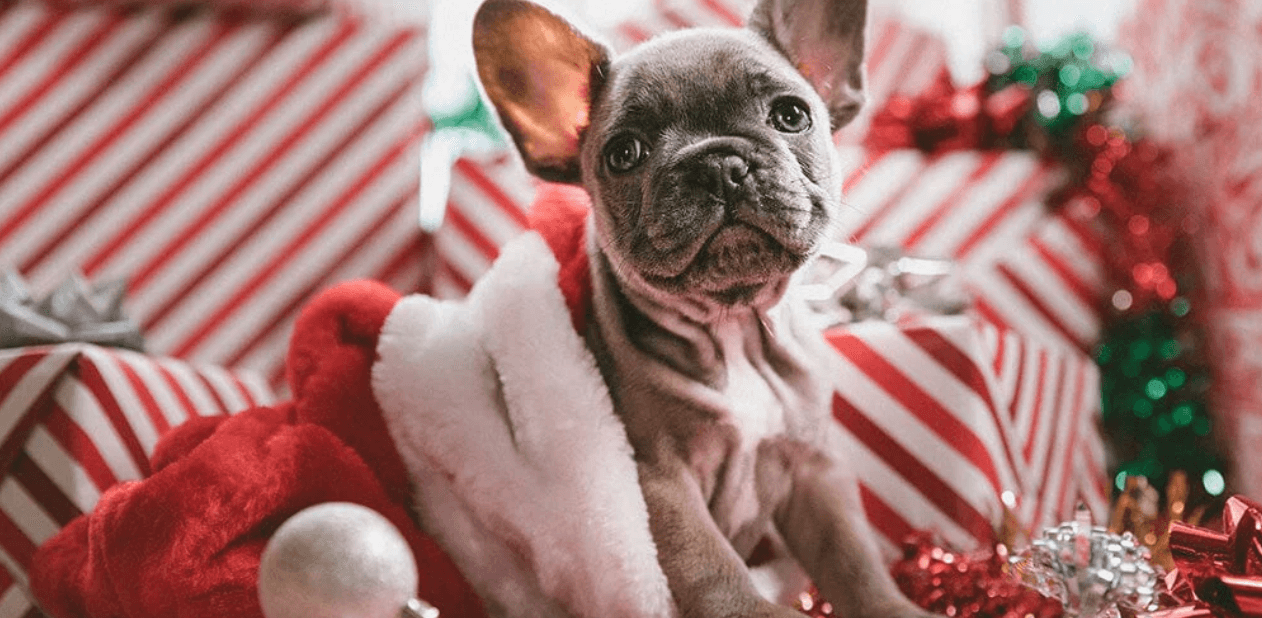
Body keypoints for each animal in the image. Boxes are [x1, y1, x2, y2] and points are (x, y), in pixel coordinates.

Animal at [471, 1, 938, 618]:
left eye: (791, 116)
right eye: (624, 154)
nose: (717, 163)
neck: (733, 326)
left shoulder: (814, 468)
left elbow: (853, 557)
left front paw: (893, 607)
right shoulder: (660, 484)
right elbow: (714, 571)